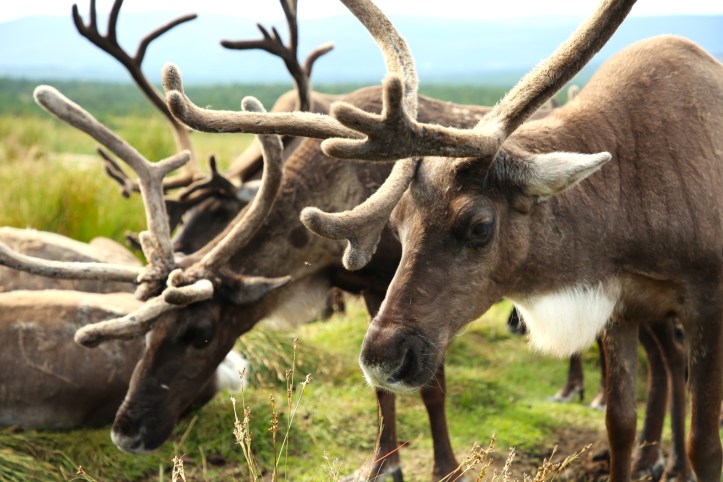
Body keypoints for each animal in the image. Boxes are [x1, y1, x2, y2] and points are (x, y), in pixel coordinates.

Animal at [157, 0, 722, 480]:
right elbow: (619, 427)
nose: (382, 357)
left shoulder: (704, 301)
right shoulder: (619, 305)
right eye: (398, 224)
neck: (629, 211)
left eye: (479, 226)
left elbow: (704, 441)